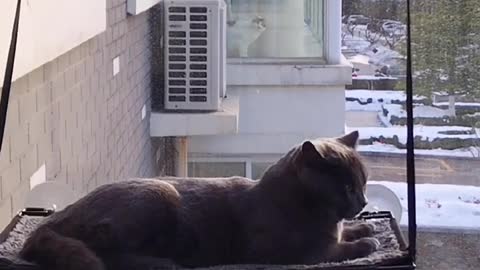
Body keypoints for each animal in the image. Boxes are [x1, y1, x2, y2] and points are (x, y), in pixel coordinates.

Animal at [7, 131, 404, 270]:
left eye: (364, 183)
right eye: (346, 186)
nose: (362, 202)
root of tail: (53, 219)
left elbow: (346, 232)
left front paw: (364, 228)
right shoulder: (297, 253)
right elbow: (336, 249)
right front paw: (367, 242)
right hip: (156, 196)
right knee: (109, 255)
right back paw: (161, 264)